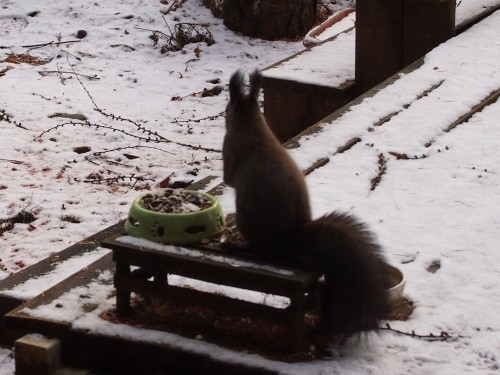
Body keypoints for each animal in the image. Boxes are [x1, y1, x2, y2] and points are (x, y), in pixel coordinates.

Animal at [223, 70, 390, 338]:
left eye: (229, 106)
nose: (225, 113)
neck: (253, 126)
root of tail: (288, 242)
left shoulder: (230, 151)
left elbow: (228, 178)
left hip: (247, 219)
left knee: (258, 249)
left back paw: (239, 246)